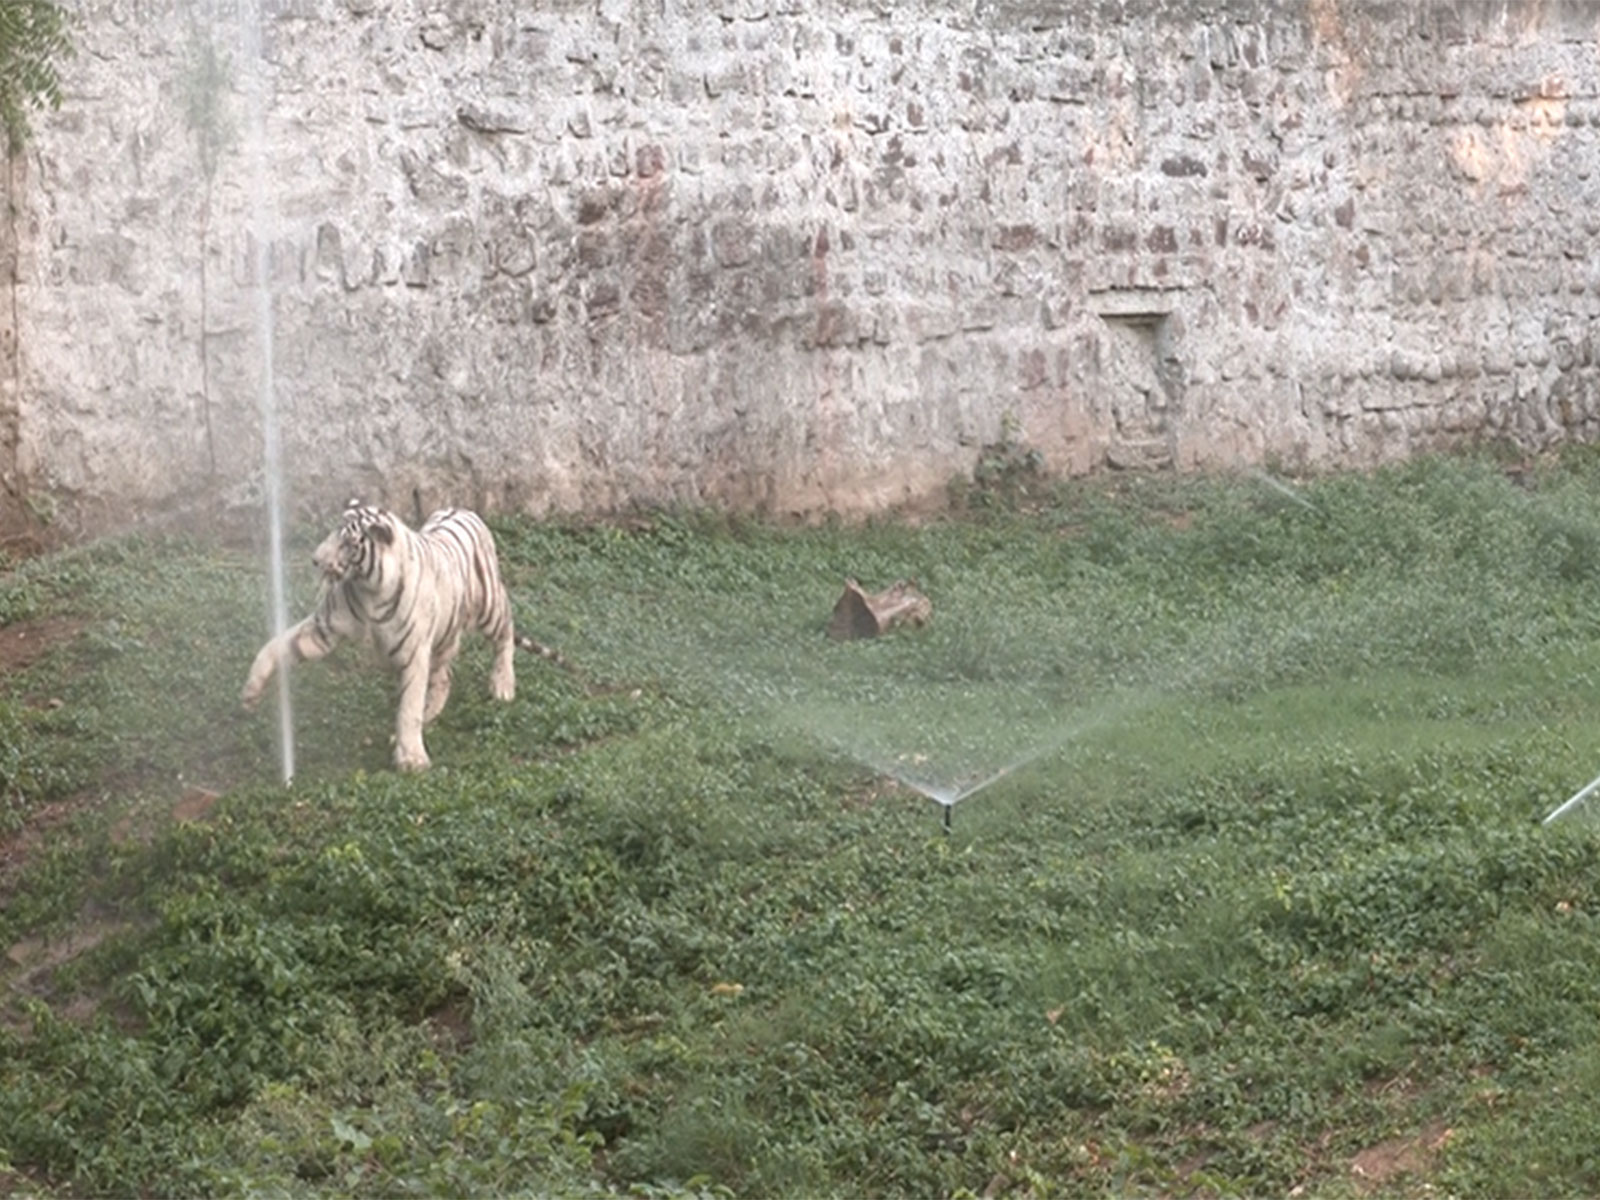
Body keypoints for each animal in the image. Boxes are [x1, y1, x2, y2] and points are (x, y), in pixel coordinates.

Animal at [241, 499, 528, 771]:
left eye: (348, 543)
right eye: (333, 532)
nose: (315, 560)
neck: (369, 589)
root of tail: (460, 509)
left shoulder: (413, 653)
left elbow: (408, 708)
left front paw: (411, 760)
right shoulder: (323, 629)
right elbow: (276, 646)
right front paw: (251, 692)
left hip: (488, 607)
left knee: (505, 632)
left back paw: (502, 685)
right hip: (443, 636)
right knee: (444, 677)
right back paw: (429, 715)